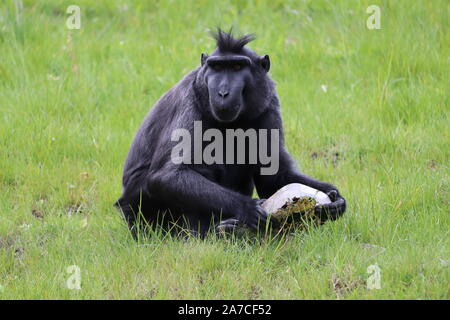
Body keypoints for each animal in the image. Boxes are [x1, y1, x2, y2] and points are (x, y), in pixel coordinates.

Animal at [115, 30, 344, 239]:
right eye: (217, 67)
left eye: (237, 67)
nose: (223, 93)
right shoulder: (189, 102)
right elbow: (168, 176)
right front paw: (247, 208)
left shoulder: (269, 105)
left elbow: (274, 176)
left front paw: (333, 199)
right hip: (144, 216)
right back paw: (218, 231)